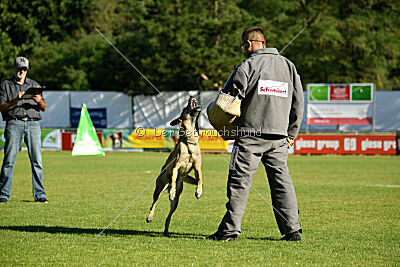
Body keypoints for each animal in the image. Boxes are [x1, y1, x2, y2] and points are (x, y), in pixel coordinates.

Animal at [147, 96, 203, 237]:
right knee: (154, 203)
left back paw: (166, 230)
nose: (191, 96)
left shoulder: (197, 168)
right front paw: (172, 192)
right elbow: (173, 178)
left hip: (176, 202)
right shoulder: (175, 167)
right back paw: (150, 216)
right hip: (159, 188)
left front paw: (198, 192)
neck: (190, 142)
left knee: (169, 215)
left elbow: (200, 179)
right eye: (184, 108)